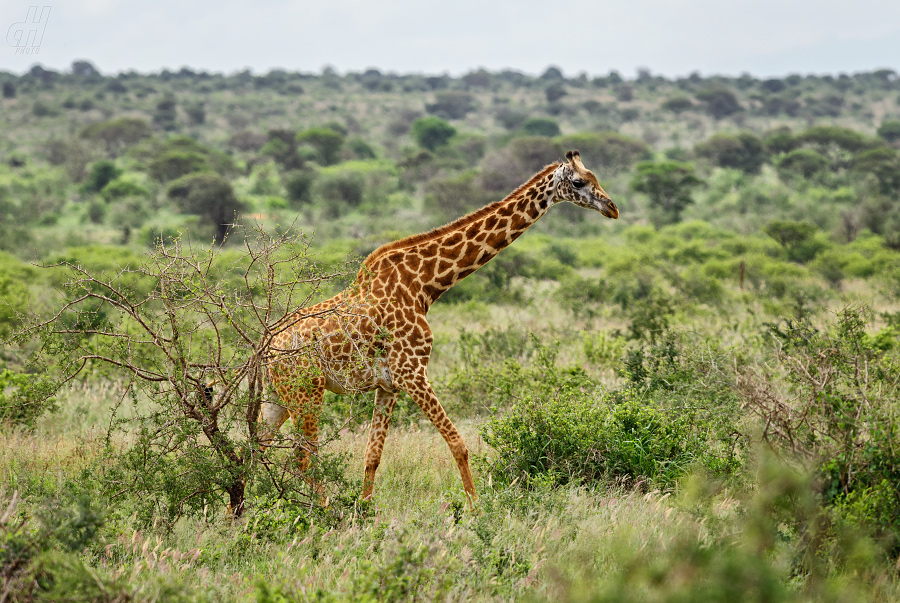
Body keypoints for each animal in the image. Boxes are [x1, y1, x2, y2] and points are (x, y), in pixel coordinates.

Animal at [256, 150, 616, 504]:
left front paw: (365, 512)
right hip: (307, 390)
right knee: (303, 456)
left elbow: (372, 456)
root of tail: (266, 351)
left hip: (278, 394)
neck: (424, 285)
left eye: (596, 176)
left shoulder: (389, 385)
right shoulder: (412, 372)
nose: (611, 207)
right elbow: (458, 443)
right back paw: (325, 511)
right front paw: (476, 510)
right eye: (579, 181)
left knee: (257, 445)